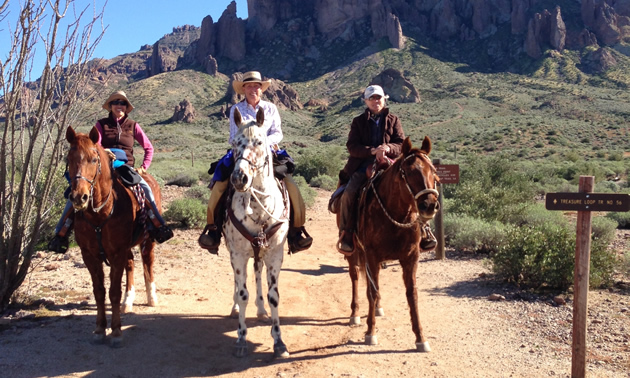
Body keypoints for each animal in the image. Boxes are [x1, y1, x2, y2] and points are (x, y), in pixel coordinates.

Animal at [65, 125, 160, 346]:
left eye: (93, 159)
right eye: (68, 159)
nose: (79, 197)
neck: (100, 213)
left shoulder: (117, 252)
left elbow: (114, 292)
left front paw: (116, 331)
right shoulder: (90, 255)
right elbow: (99, 291)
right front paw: (100, 329)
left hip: (148, 240)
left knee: (147, 262)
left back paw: (151, 297)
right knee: (131, 264)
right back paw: (129, 300)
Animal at [225, 106, 292, 358]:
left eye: (260, 142)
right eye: (235, 143)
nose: (239, 178)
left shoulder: (274, 253)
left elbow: (274, 296)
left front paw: (279, 341)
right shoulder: (238, 254)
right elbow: (243, 293)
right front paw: (241, 338)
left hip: (260, 252)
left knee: (257, 272)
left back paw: (261, 309)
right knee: (238, 282)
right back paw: (235, 306)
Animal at [344, 136, 442, 352]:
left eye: (434, 171)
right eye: (408, 172)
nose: (429, 205)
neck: (396, 214)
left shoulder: (411, 257)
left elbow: (411, 294)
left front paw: (420, 337)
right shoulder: (372, 256)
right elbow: (371, 291)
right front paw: (370, 332)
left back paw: (378, 308)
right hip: (353, 252)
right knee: (355, 277)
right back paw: (355, 314)